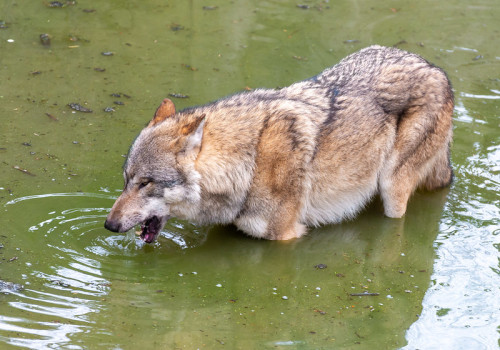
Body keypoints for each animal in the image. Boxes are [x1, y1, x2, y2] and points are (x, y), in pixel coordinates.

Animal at [104, 45, 454, 242]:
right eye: (126, 181)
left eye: (146, 183)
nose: (108, 224)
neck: (250, 161)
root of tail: (436, 69)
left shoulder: (286, 236)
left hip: (392, 190)